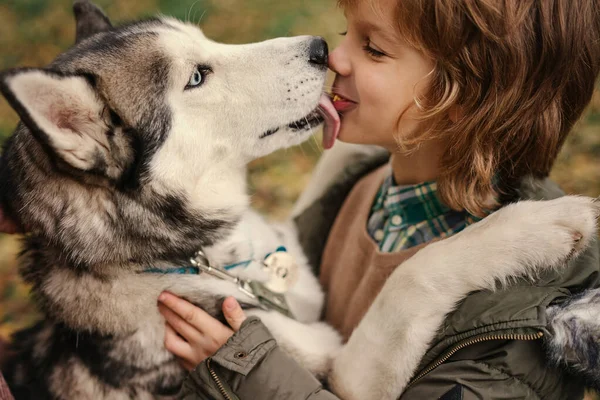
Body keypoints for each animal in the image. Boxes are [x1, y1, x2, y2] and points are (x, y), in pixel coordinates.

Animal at [0, 0, 596, 400]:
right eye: (197, 77)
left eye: (206, 46)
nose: (320, 48)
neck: (204, 258)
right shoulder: (342, 374)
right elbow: (414, 276)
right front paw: (543, 223)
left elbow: (333, 163)